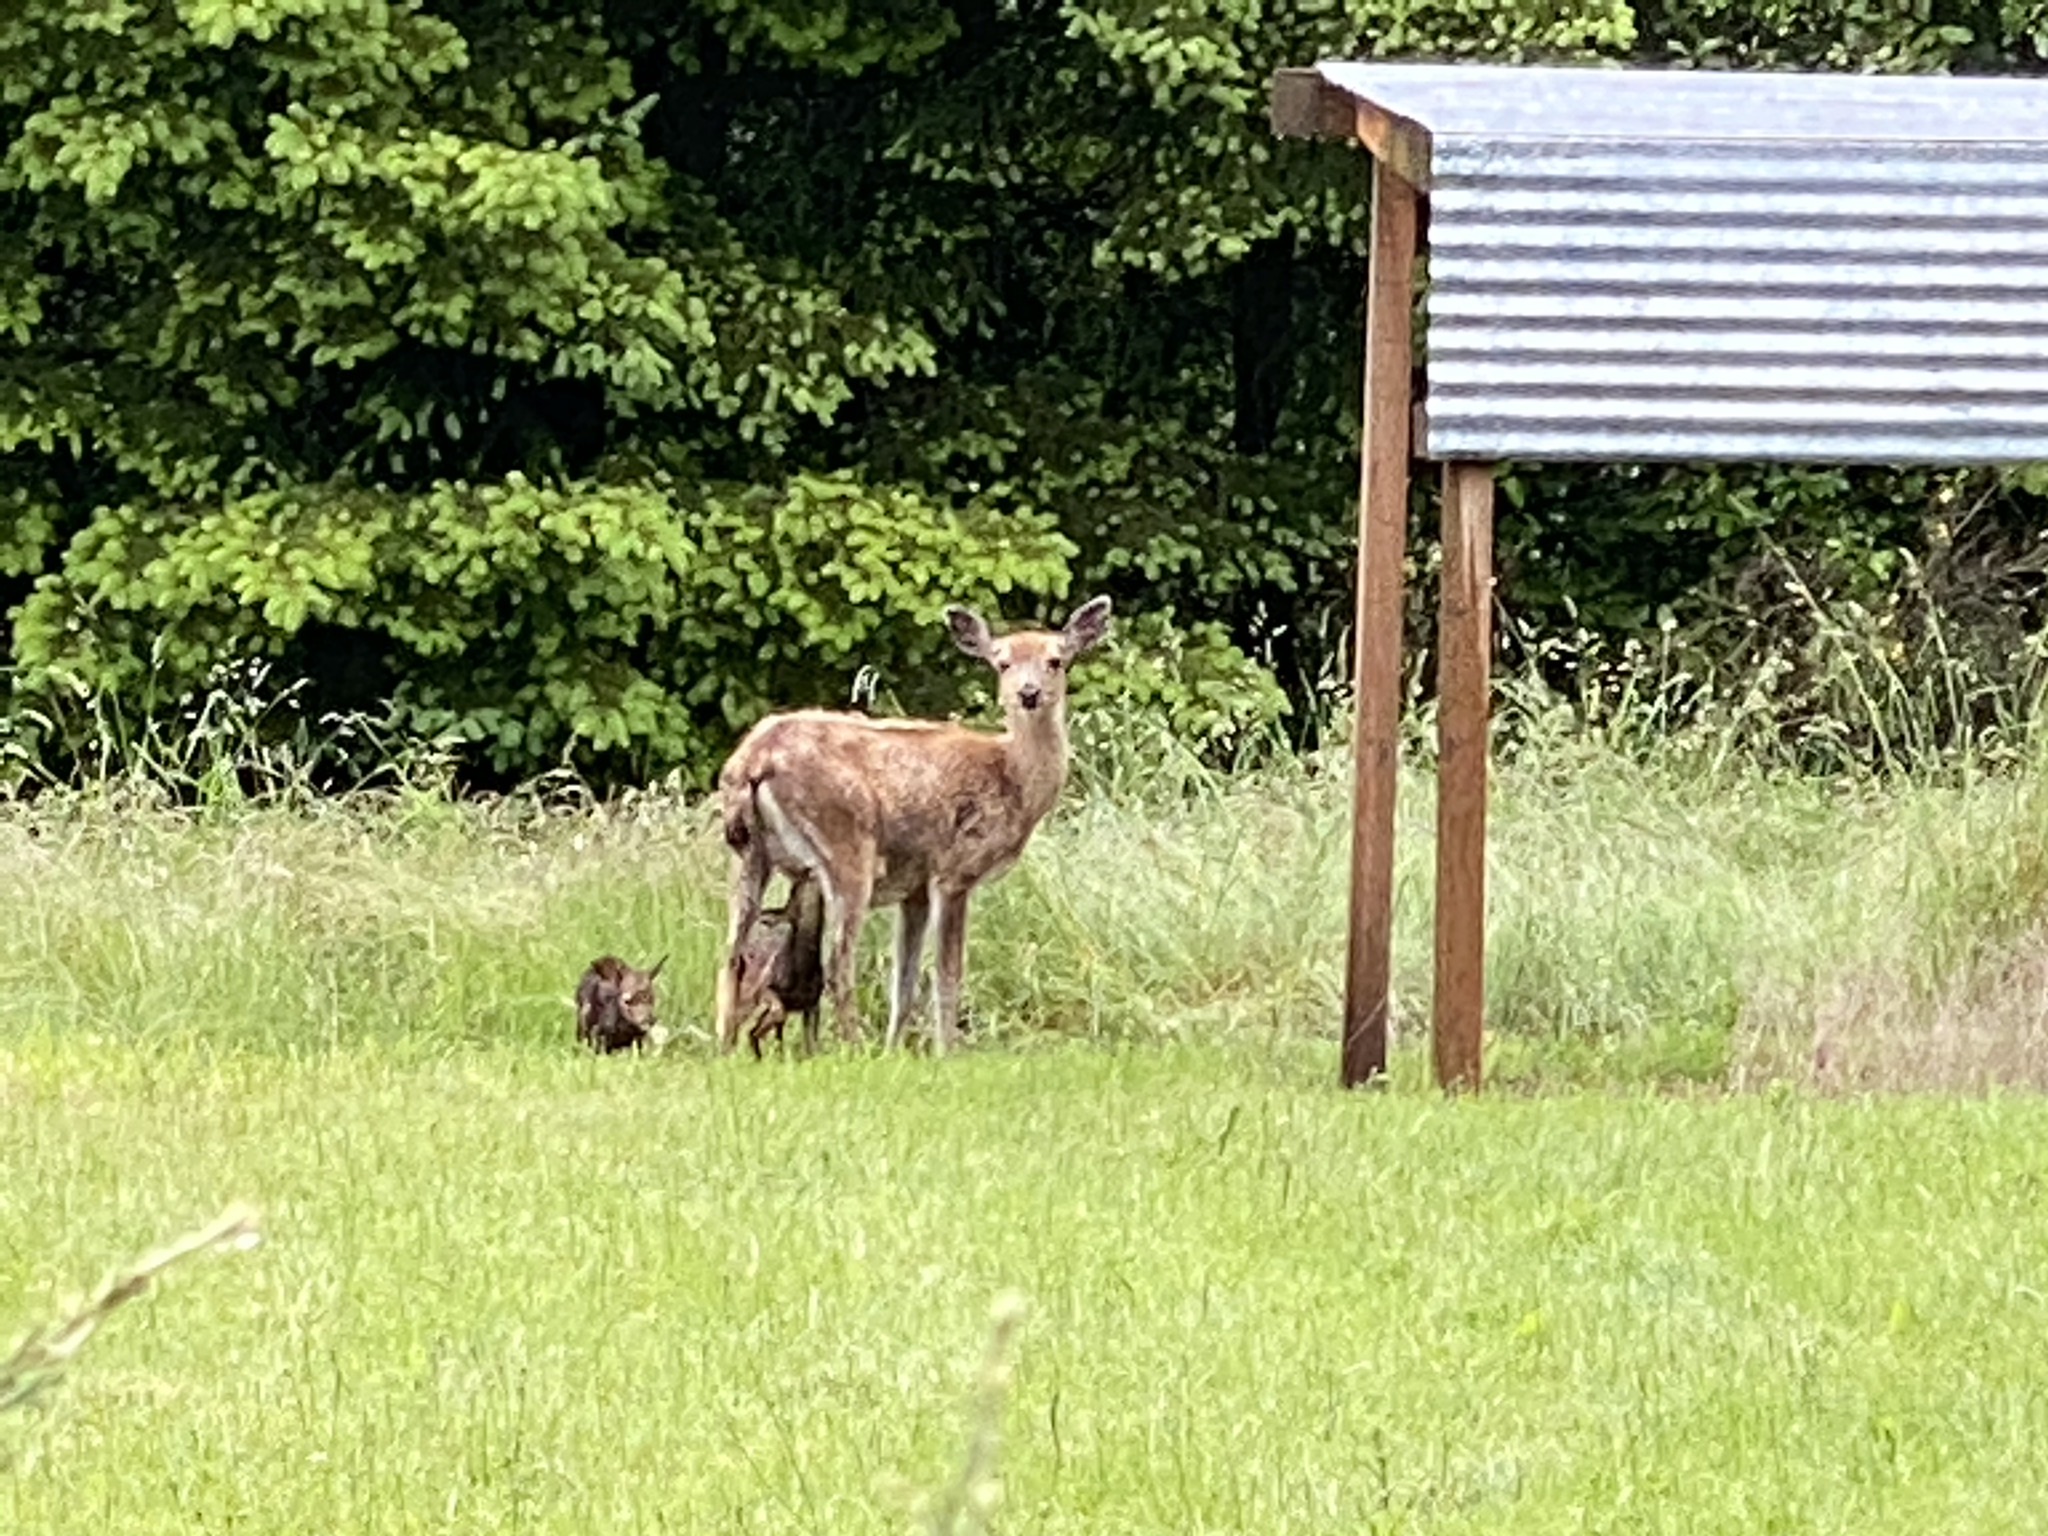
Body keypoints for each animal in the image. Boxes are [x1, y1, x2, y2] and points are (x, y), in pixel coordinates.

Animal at [715, 595, 1112, 1055]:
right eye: (1002, 663)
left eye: (1056, 660)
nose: (1028, 693)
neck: (1012, 775)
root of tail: (754, 760)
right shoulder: (955, 870)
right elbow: (947, 973)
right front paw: (945, 1052)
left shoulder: (915, 888)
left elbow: (902, 981)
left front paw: (896, 1050)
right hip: (847, 847)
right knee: (837, 961)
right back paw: (855, 1047)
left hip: (748, 855)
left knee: (732, 953)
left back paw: (725, 1048)